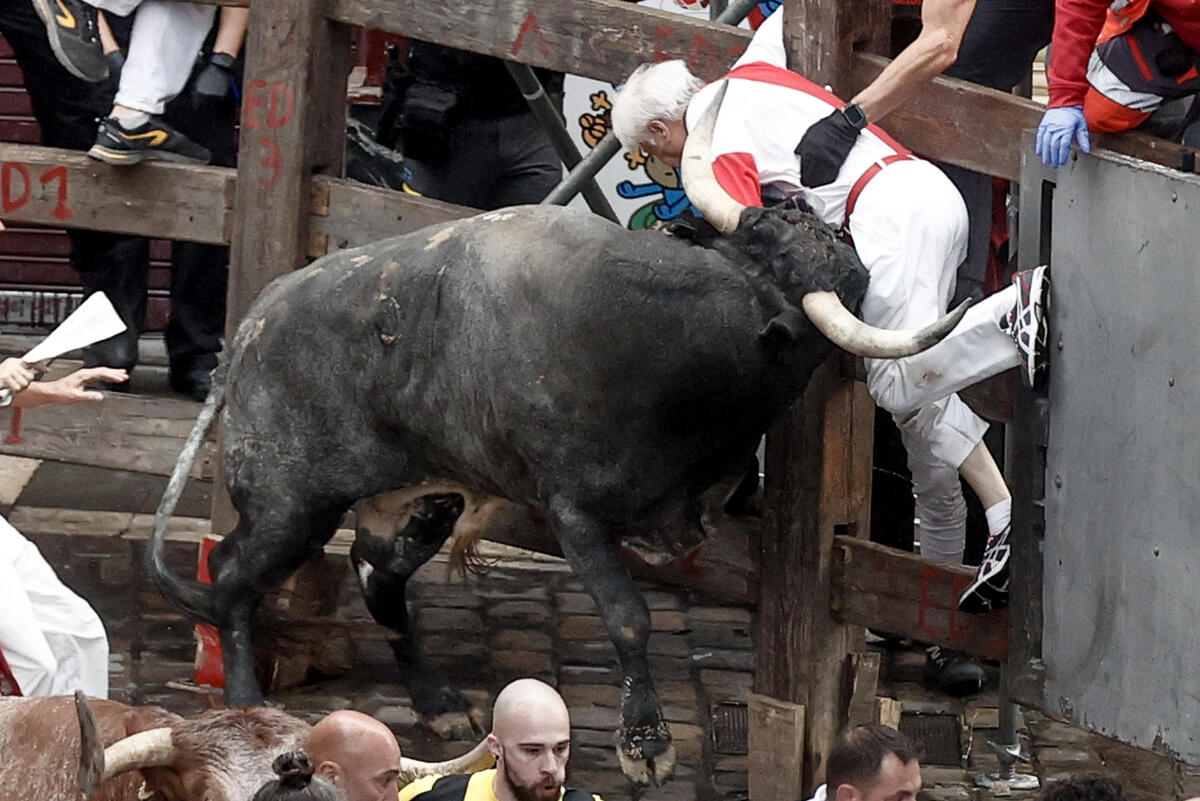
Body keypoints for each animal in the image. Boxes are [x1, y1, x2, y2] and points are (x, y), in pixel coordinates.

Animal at [154, 203, 878, 786]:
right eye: (771, 242)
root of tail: (258, 314)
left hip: (420, 499)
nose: (837, 233)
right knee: (231, 575)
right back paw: (249, 704)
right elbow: (627, 616)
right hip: (290, 505)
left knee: (377, 576)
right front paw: (645, 743)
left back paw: (439, 703)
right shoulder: (575, 512)